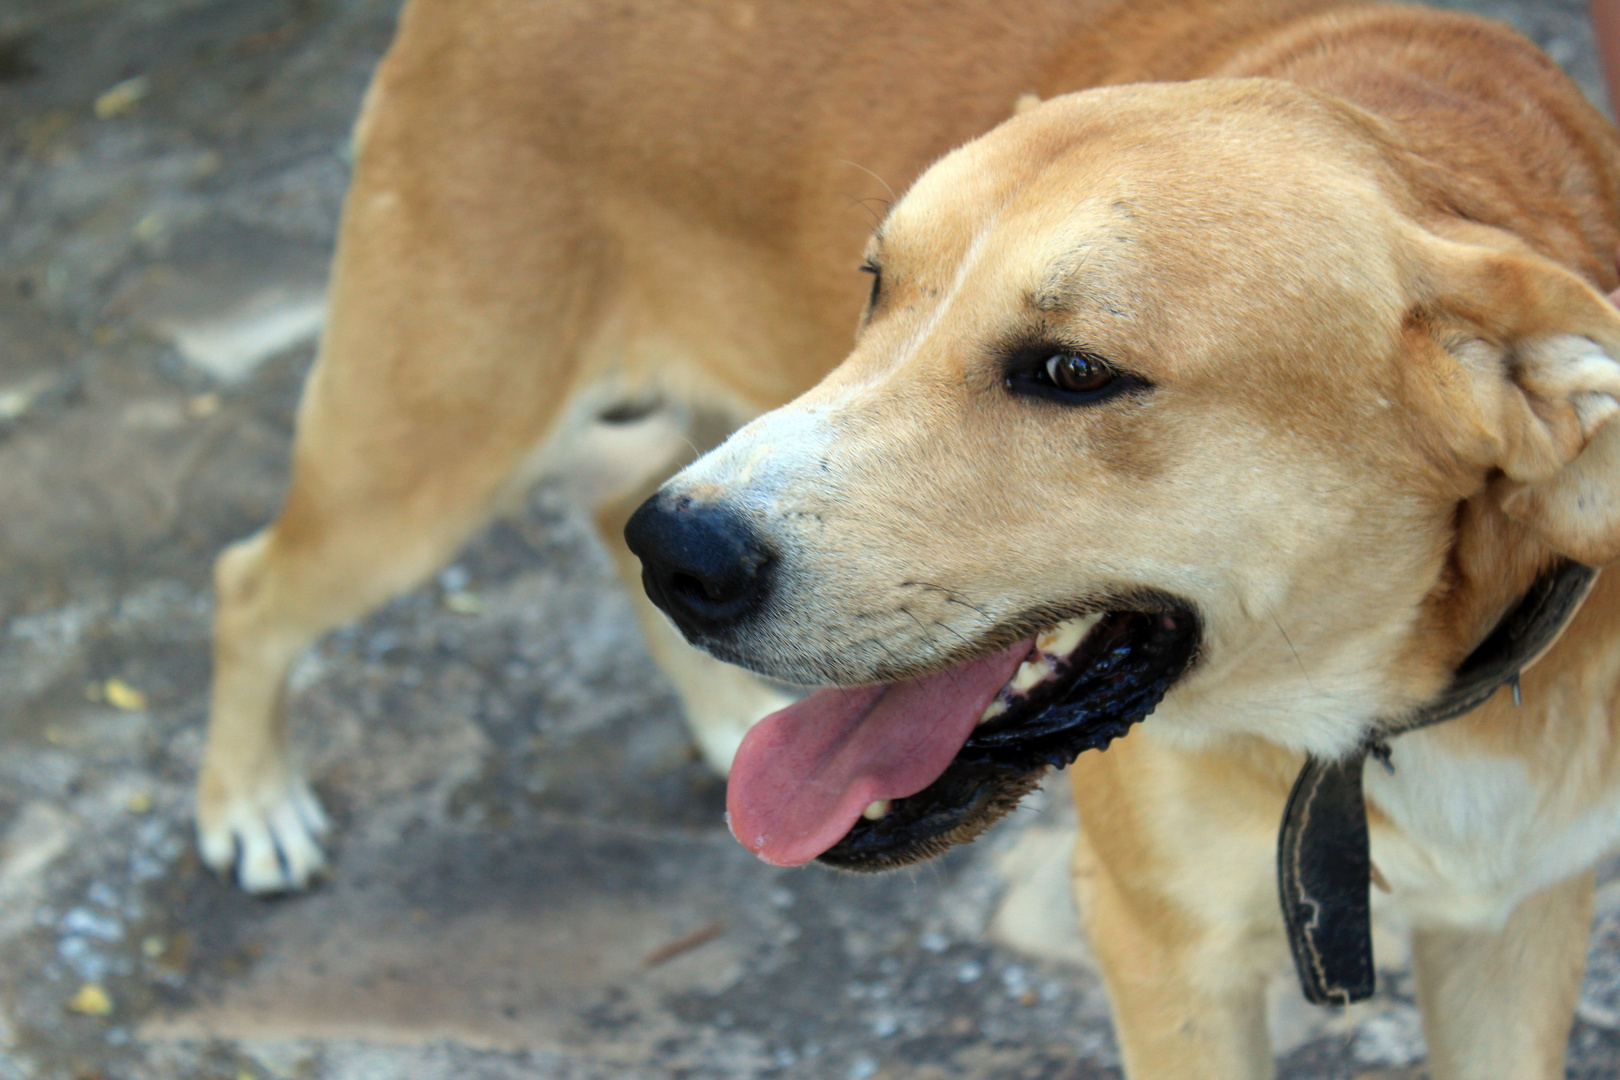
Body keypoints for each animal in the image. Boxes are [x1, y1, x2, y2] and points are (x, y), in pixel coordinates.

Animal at [202, 0, 1620, 1075]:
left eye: (1073, 371)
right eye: (878, 283)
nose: (686, 559)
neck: (1378, 717)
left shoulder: (1519, 930)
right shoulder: (1163, 948)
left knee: (604, 499)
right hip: (425, 449)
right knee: (252, 581)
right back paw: (249, 806)